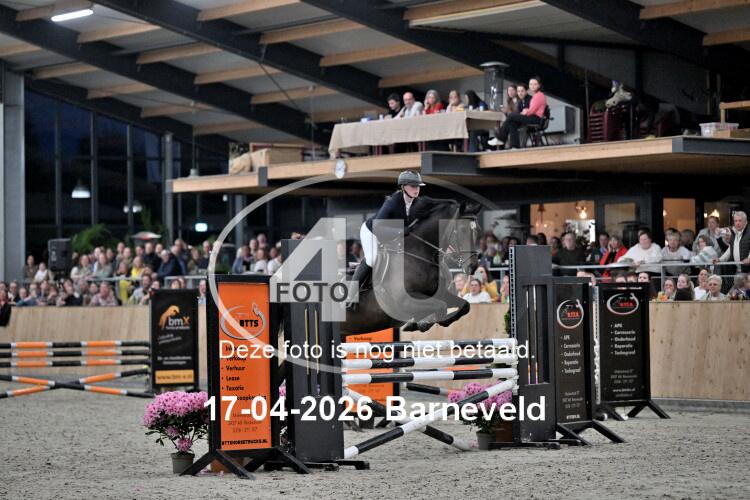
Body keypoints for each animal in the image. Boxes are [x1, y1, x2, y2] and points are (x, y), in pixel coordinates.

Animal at [340, 198, 481, 336]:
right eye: (462, 229)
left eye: (477, 230)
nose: (473, 266)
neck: (418, 252)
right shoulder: (405, 301)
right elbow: (441, 306)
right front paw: (421, 324)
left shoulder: (439, 293)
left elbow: (464, 305)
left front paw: (425, 323)